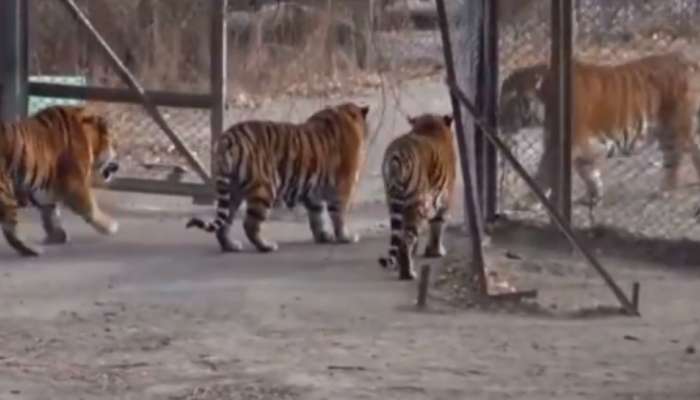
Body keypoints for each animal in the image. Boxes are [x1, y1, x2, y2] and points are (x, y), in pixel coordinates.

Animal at [0, 105, 120, 257]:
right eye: (114, 145)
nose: (117, 166)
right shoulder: (75, 184)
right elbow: (91, 207)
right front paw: (110, 226)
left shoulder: (44, 190)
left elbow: (51, 214)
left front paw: (58, 236)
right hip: (5, 193)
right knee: (11, 228)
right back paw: (33, 250)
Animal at [186, 102, 370, 253]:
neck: (345, 114)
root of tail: (229, 137)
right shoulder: (344, 187)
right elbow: (339, 215)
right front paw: (345, 237)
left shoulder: (313, 193)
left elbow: (317, 215)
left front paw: (323, 236)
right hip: (264, 188)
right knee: (250, 225)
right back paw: (267, 246)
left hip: (232, 191)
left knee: (224, 224)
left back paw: (231, 246)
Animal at [377, 113, 457, 281]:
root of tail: (396, 153)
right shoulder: (444, 201)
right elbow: (437, 227)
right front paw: (435, 252)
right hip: (415, 203)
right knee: (404, 242)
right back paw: (408, 274)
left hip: (393, 201)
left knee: (401, 237)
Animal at [498, 52, 700, 209]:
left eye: (510, 98)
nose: (498, 119)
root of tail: (687, 61)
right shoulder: (583, 147)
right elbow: (589, 173)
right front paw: (594, 197)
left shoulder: (561, 145)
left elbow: (543, 173)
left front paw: (528, 201)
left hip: (675, 130)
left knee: (677, 160)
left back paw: (665, 191)